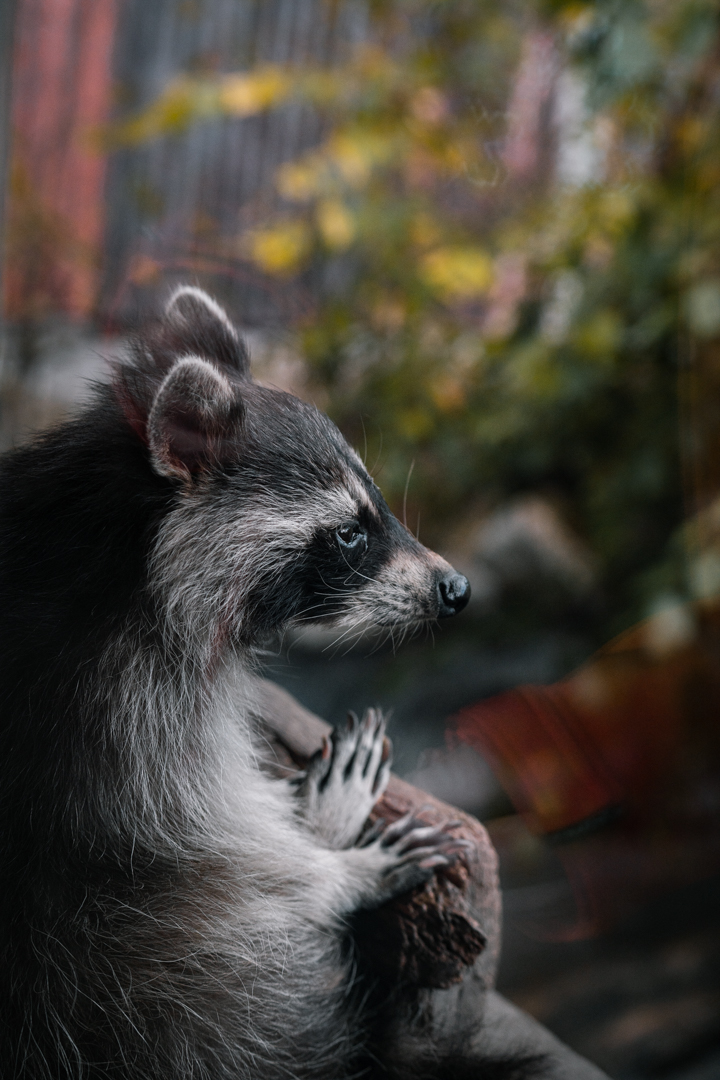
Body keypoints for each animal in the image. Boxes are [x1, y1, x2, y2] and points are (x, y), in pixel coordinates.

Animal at [0, 288, 473, 1080]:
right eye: (349, 533)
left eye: (377, 507)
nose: (457, 588)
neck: (129, 555)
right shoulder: (117, 707)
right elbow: (218, 847)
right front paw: (328, 863)